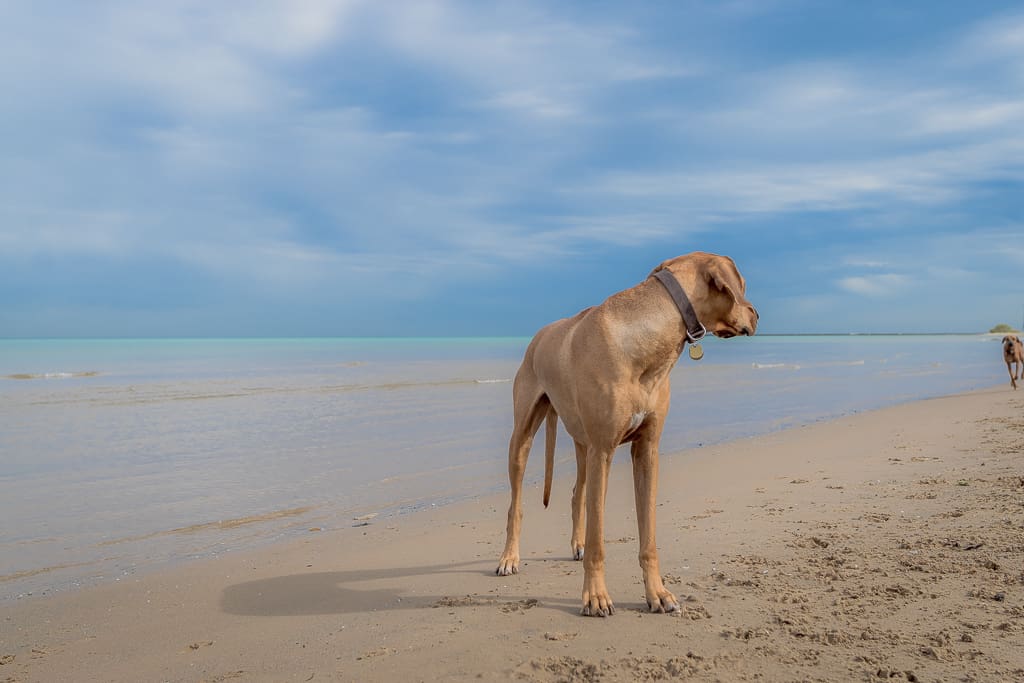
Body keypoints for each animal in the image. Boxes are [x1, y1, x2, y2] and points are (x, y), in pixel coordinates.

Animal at [499, 253, 757, 618]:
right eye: (742, 284)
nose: (756, 314)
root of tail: (540, 335)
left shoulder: (646, 450)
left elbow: (647, 535)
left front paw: (657, 593)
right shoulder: (604, 449)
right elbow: (598, 539)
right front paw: (595, 597)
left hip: (582, 442)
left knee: (577, 493)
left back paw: (576, 543)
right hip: (524, 436)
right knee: (516, 504)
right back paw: (510, 557)